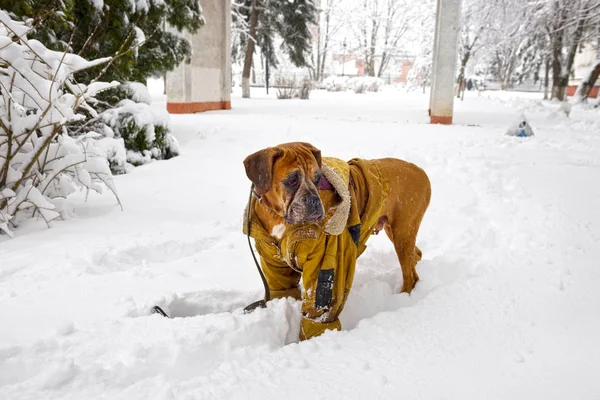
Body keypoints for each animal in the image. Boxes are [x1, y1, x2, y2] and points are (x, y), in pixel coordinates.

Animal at [244, 142, 432, 340]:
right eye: (292, 180)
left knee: (410, 276)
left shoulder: (325, 266)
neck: (277, 216)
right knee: (415, 256)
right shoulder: (275, 266)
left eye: (318, 179)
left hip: (402, 232)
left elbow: (319, 307)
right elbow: (283, 289)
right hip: (397, 232)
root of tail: (419, 170)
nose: (314, 200)